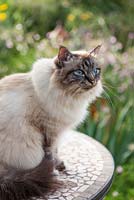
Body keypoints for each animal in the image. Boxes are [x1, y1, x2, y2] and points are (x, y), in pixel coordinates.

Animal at [0, 45, 102, 200]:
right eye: (79, 72)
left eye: (96, 70)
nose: (92, 80)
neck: (69, 96)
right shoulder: (49, 131)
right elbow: (50, 154)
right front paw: (53, 172)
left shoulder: (58, 132)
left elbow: (56, 152)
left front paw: (60, 166)